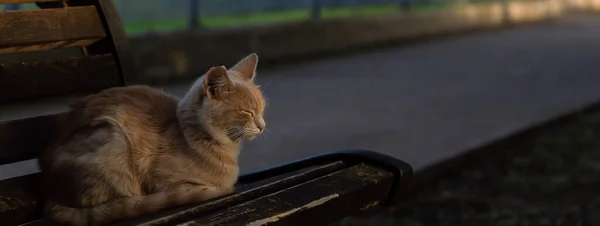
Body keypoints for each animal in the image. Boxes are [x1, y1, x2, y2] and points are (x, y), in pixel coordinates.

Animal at [38, 53, 268, 226]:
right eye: (247, 112)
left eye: (261, 109)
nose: (263, 126)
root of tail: (49, 191)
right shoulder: (163, 181)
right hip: (112, 142)